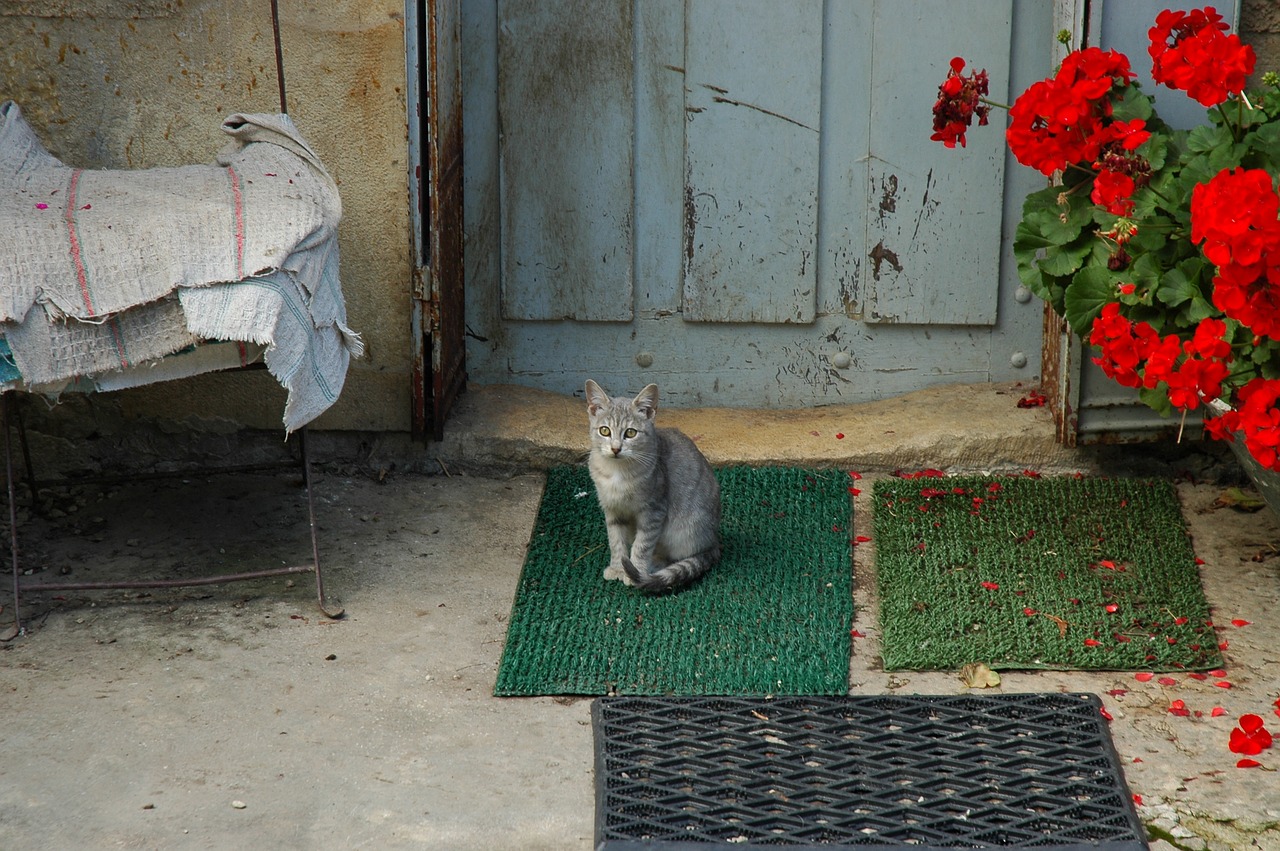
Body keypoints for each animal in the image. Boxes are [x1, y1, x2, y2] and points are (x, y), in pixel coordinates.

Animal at [586, 378, 721, 591]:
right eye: (604, 431)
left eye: (630, 433)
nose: (616, 448)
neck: (617, 472)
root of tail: (713, 541)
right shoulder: (613, 510)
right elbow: (616, 541)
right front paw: (617, 568)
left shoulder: (654, 510)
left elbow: (642, 545)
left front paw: (635, 571)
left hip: (685, 531)